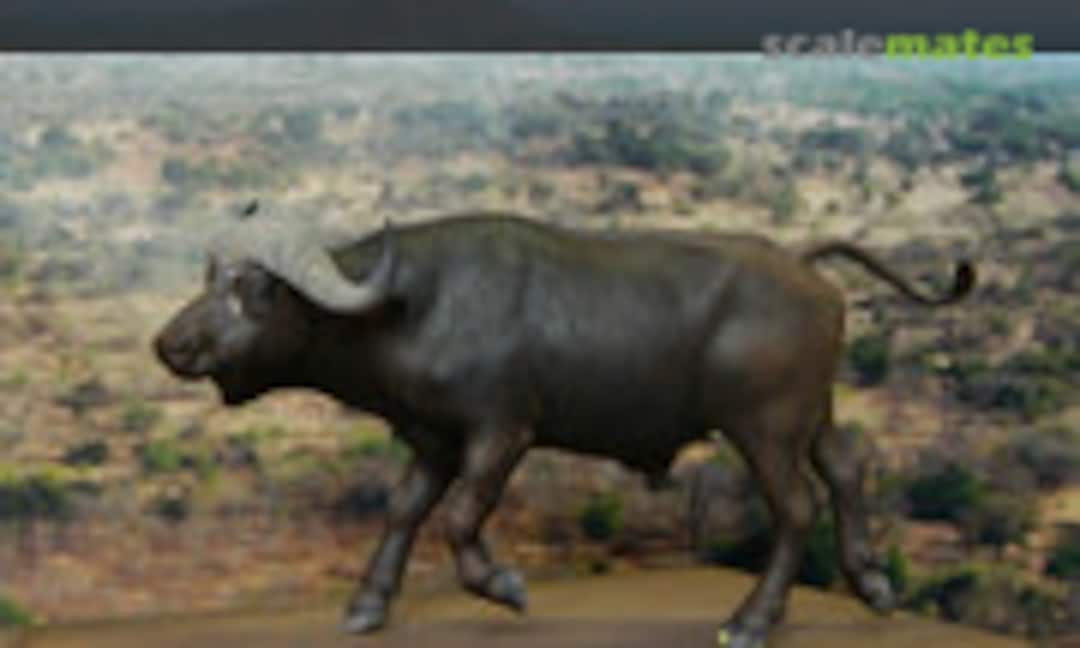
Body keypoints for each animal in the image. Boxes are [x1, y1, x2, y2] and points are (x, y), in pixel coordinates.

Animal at [154, 210, 974, 648]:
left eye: (251, 288)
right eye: (209, 279)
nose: (170, 344)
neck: (408, 305)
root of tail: (805, 267)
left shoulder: (502, 432)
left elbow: (459, 517)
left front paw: (503, 585)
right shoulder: (432, 441)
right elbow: (404, 511)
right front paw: (367, 606)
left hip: (765, 426)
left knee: (797, 507)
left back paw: (751, 621)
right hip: (813, 415)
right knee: (846, 472)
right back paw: (873, 584)